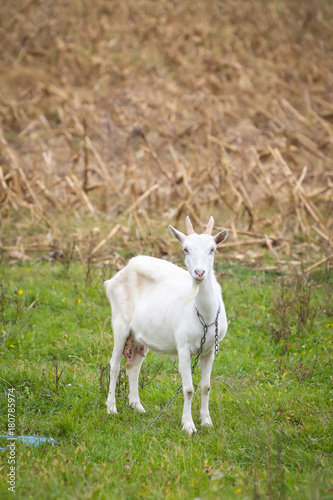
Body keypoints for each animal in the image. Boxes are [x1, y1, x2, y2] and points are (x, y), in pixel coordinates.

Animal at [104, 215, 228, 434]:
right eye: (185, 249)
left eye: (212, 249)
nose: (199, 272)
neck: (204, 316)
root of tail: (117, 275)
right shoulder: (183, 346)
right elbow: (188, 389)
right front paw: (188, 425)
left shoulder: (209, 350)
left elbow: (206, 386)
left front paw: (206, 421)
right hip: (119, 322)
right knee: (114, 365)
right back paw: (111, 407)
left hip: (138, 336)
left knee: (133, 367)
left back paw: (137, 406)